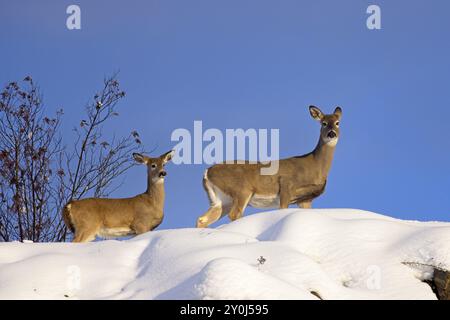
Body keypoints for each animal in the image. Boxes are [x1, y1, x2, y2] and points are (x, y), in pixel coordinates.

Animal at [196, 106, 342, 229]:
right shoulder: (286, 186)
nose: (332, 134)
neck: (314, 166)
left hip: (221, 200)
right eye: (323, 123)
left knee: (202, 219)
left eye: (337, 122)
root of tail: (207, 172)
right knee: (234, 214)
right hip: (241, 190)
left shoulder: (306, 200)